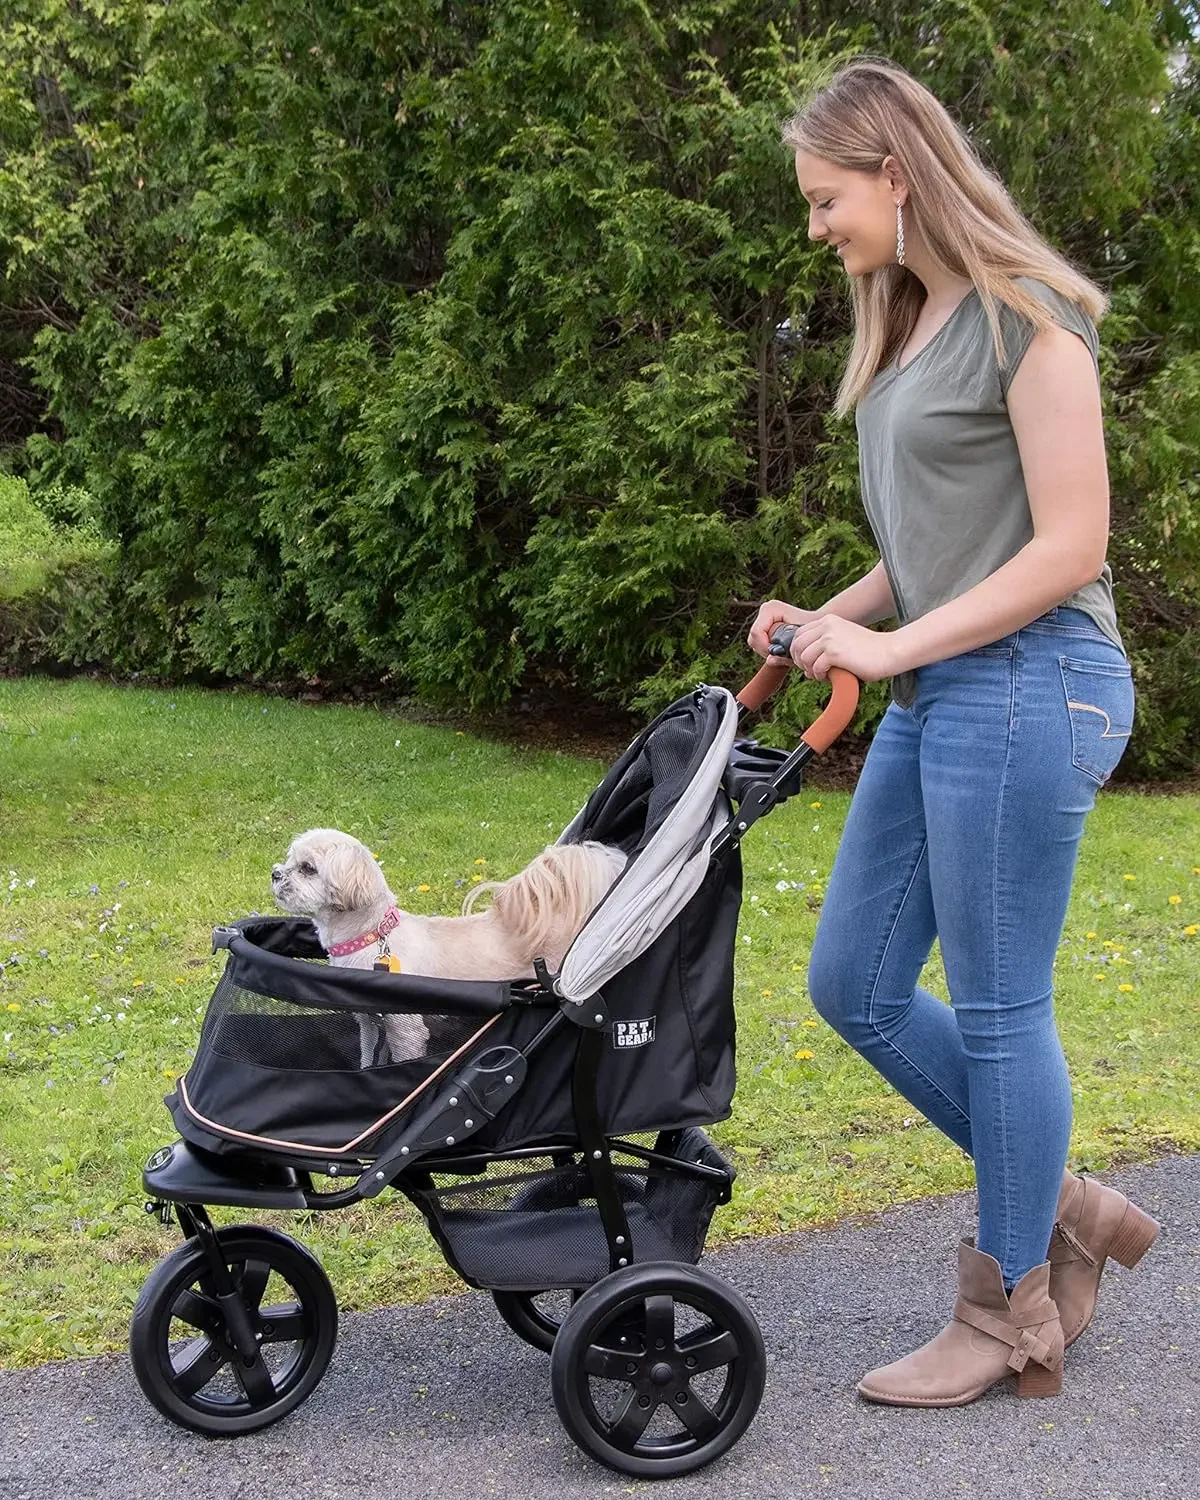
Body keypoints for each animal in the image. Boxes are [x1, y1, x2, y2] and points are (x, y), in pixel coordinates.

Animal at [273, 834, 627, 1068]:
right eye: (288, 861)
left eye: (307, 868)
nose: (275, 873)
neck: (372, 937)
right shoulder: (370, 1022)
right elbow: (368, 1053)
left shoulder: (407, 1030)